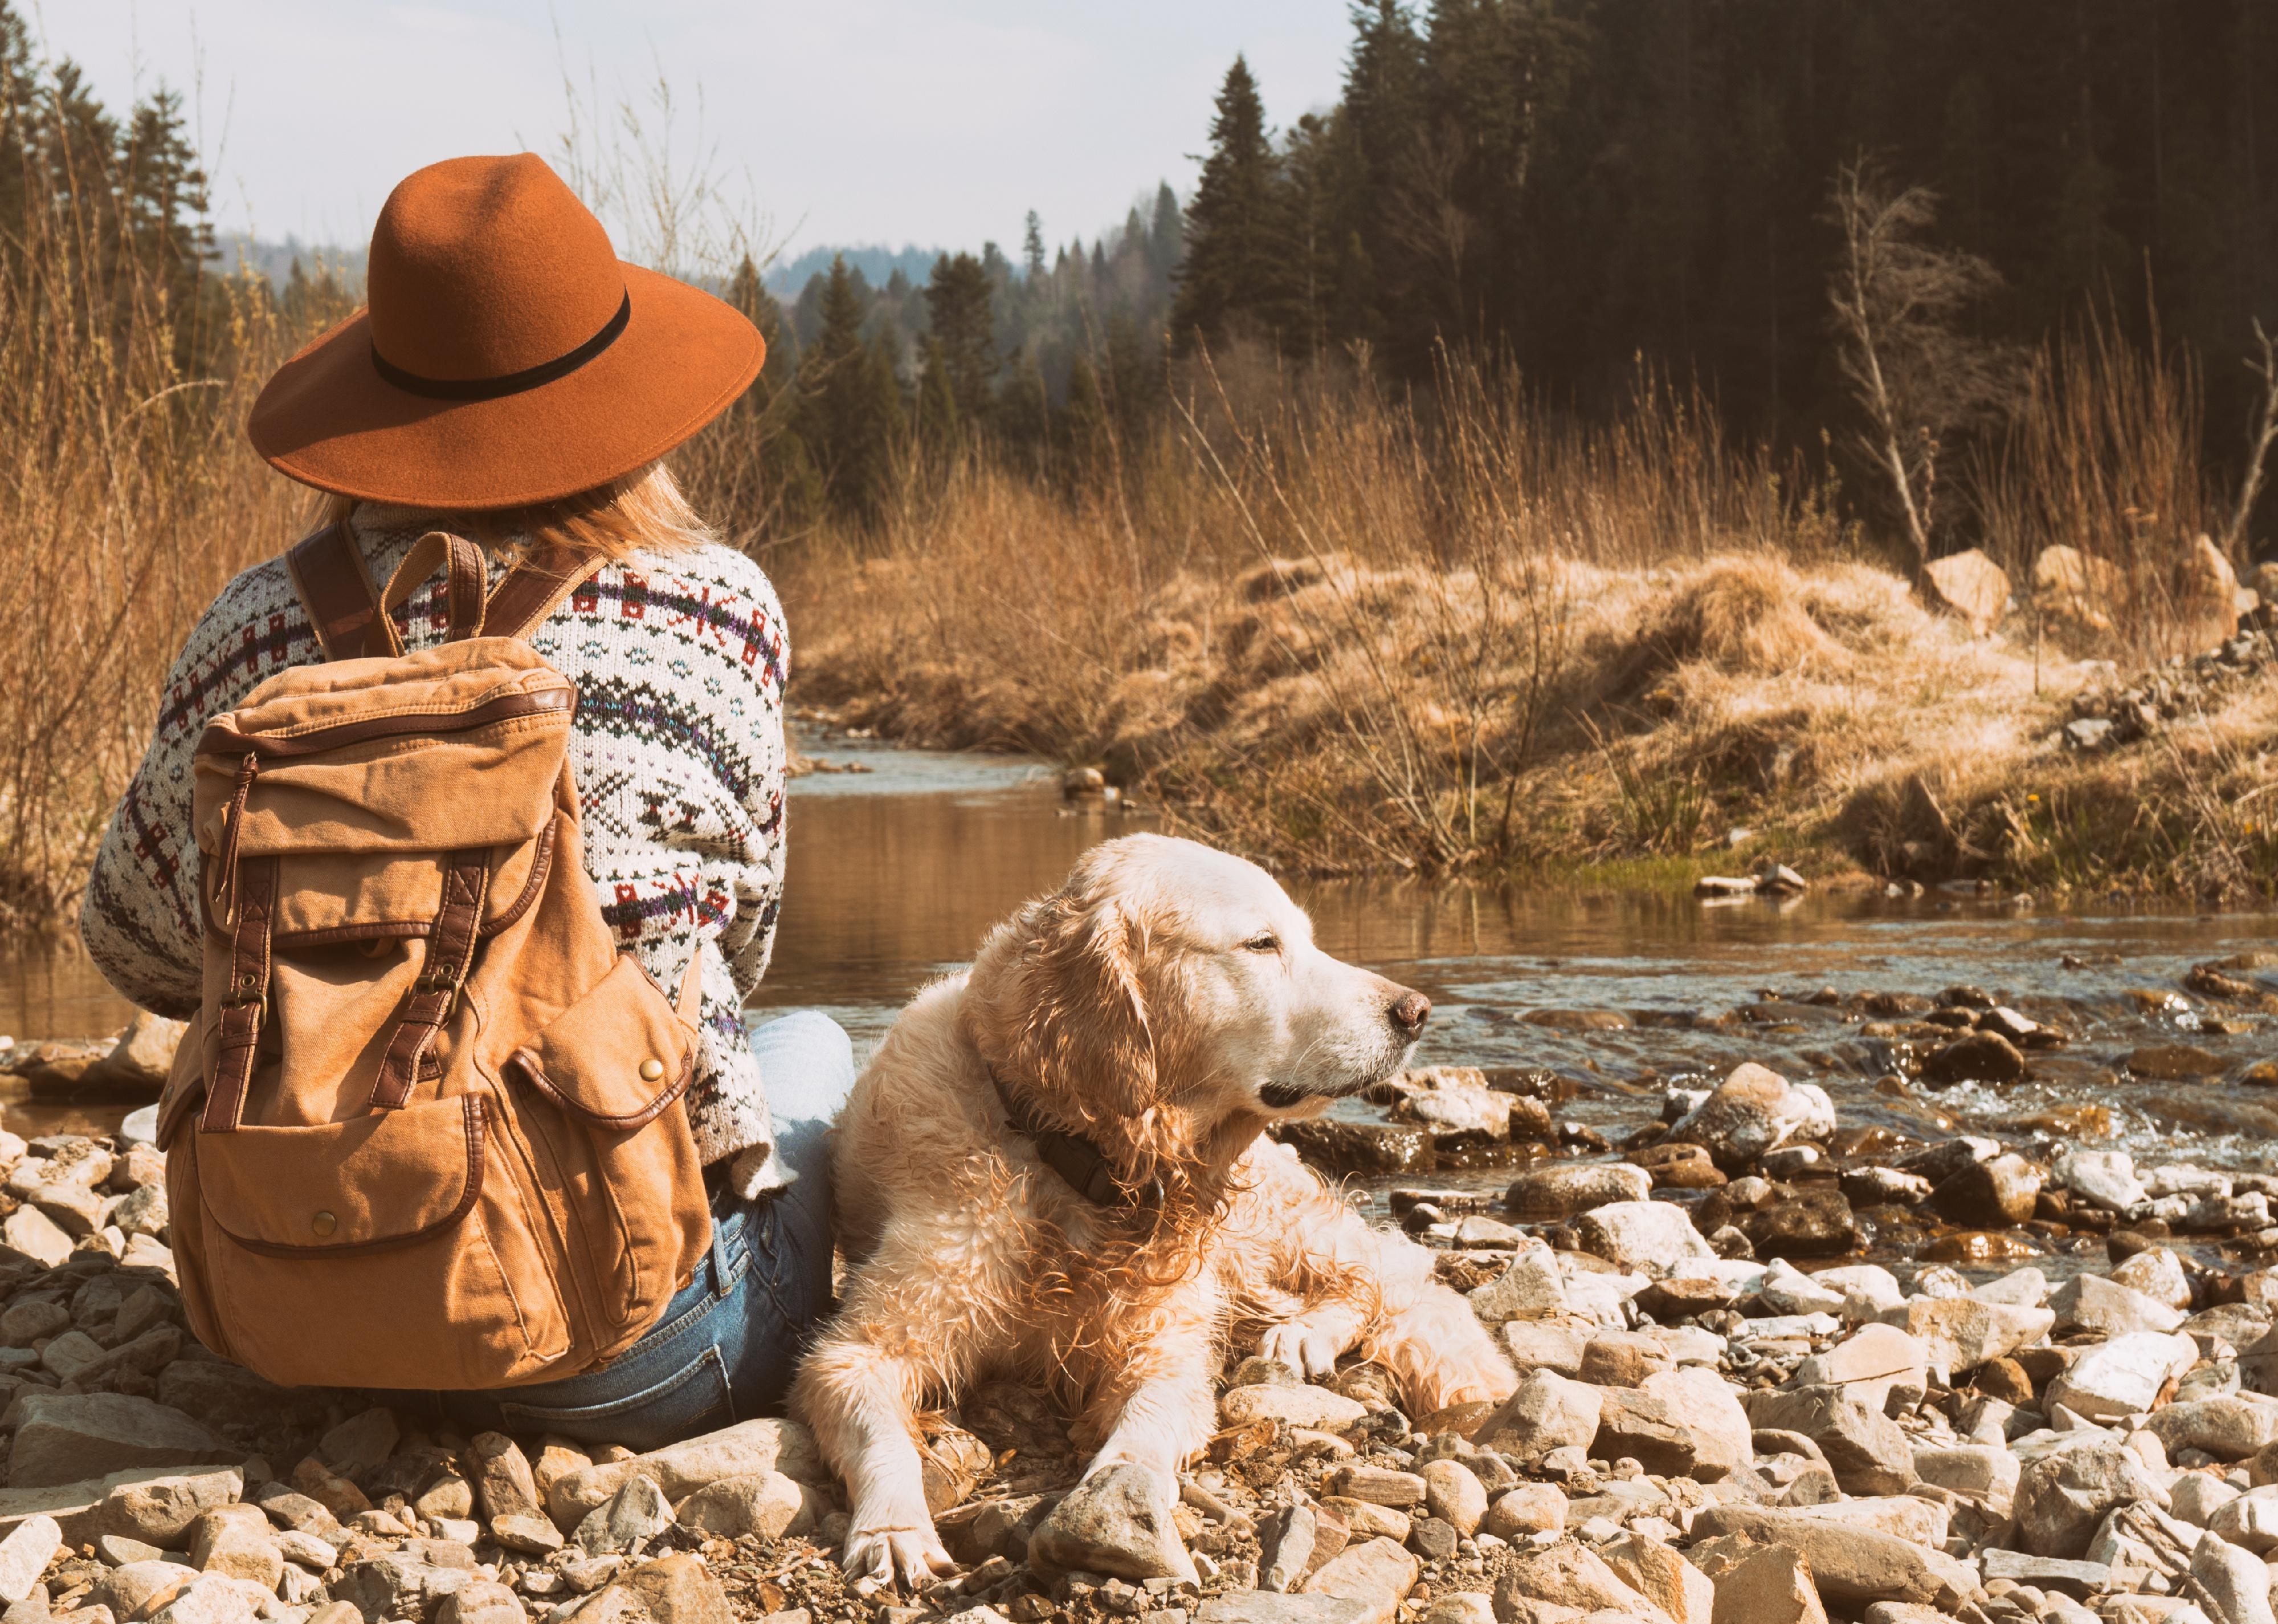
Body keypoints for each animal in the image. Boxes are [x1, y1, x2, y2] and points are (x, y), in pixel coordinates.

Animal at [793, 838, 1521, 1585]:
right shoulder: (860, 1349)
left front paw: (1117, 1502)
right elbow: (872, 1418)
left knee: (1382, 1274)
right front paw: (893, 1529)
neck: (1067, 1154)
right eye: (1261, 943)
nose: (1417, 1011)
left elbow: (1147, 1421)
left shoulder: (1163, 1343)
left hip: (1262, 1226)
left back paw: (1302, 1336)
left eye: (1306, 938)